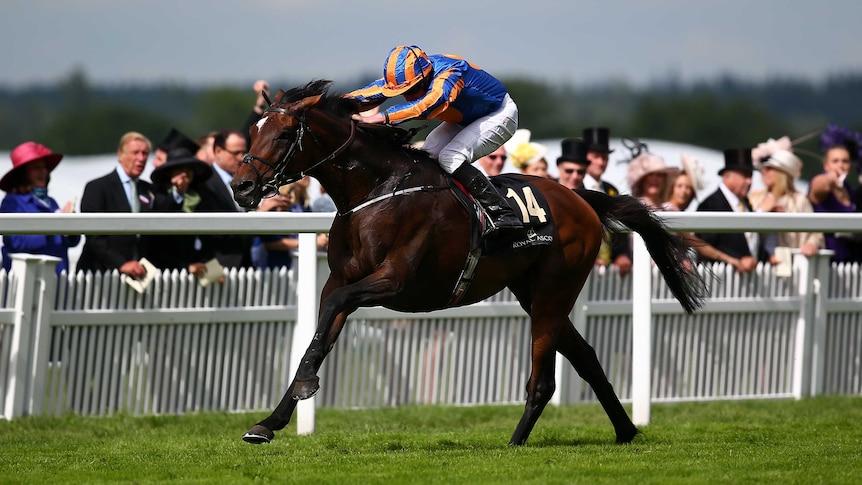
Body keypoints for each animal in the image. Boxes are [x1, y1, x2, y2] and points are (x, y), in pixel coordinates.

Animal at [231, 79, 708, 446]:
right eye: (252, 132)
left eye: (282, 135)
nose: (241, 186)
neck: (376, 191)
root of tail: (581, 199)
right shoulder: (341, 280)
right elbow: (319, 335)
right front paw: (269, 423)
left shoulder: (393, 280)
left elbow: (331, 311)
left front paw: (302, 390)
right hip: (533, 292)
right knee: (587, 358)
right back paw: (626, 431)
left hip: (554, 290)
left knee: (544, 379)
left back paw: (515, 443)